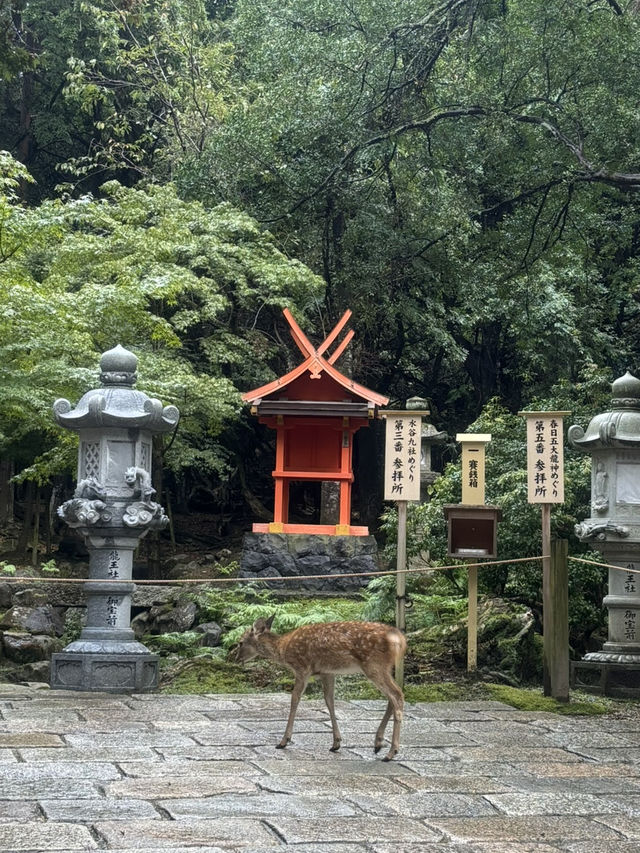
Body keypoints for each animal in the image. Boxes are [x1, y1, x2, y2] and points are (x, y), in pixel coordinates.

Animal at [229, 616, 406, 761]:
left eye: (240, 642)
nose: (235, 658)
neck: (283, 649)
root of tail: (399, 639)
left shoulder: (302, 669)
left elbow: (294, 700)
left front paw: (284, 741)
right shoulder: (327, 672)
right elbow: (329, 701)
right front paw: (336, 743)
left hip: (374, 665)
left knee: (397, 695)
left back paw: (391, 752)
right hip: (384, 667)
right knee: (392, 698)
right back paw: (378, 743)